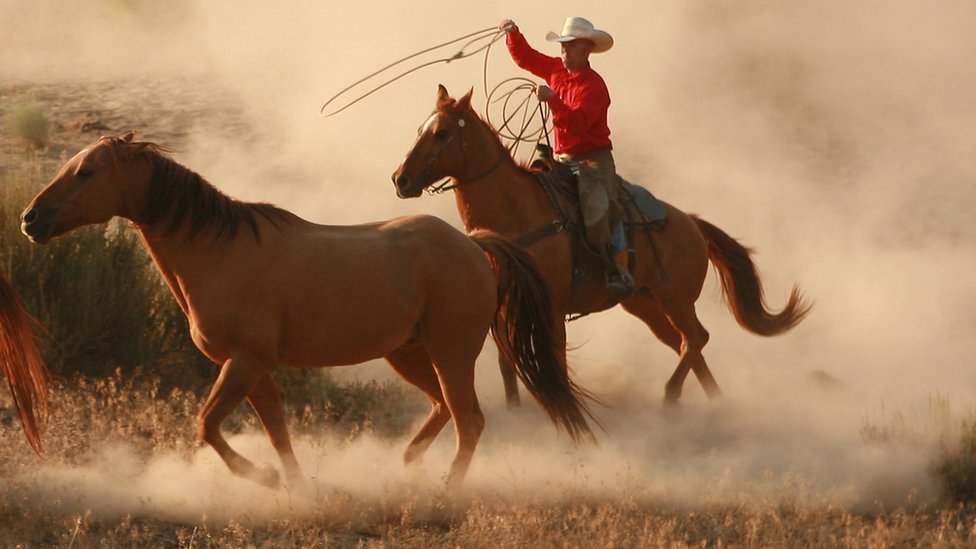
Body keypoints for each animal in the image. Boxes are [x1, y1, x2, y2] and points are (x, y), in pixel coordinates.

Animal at [20, 133, 596, 490]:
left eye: (87, 172)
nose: (30, 218)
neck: (218, 251)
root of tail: (476, 246)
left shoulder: (244, 363)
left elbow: (206, 425)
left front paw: (265, 479)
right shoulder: (253, 369)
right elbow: (276, 430)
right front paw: (294, 485)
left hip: (450, 352)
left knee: (469, 420)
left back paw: (446, 488)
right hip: (408, 354)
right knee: (443, 410)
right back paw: (407, 465)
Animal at [392, 86, 812, 407]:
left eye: (442, 132)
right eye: (419, 129)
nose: (401, 179)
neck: (518, 213)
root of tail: (691, 222)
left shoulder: (551, 307)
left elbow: (554, 360)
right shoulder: (507, 307)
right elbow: (506, 364)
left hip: (675, 298)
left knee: (696, 339)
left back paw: (671, 399)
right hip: (645, 303)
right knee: (685, 344)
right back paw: (712, 402)